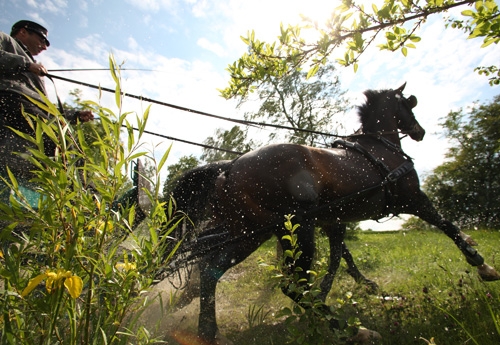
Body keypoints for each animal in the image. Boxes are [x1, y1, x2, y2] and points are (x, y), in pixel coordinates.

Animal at [170, 83, 498, 344]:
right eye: (408, 103)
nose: (419, 131)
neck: (381, 149)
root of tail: (231, 167)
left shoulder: (332, 221)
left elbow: (339, 258)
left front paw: (357, 287)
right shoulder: (413, 199)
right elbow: (447, 225)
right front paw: (482, 265)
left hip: (252, 233)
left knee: (210, 270)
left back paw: (208, 331)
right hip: (295, 228)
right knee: (292, 285)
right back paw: (355, 330)